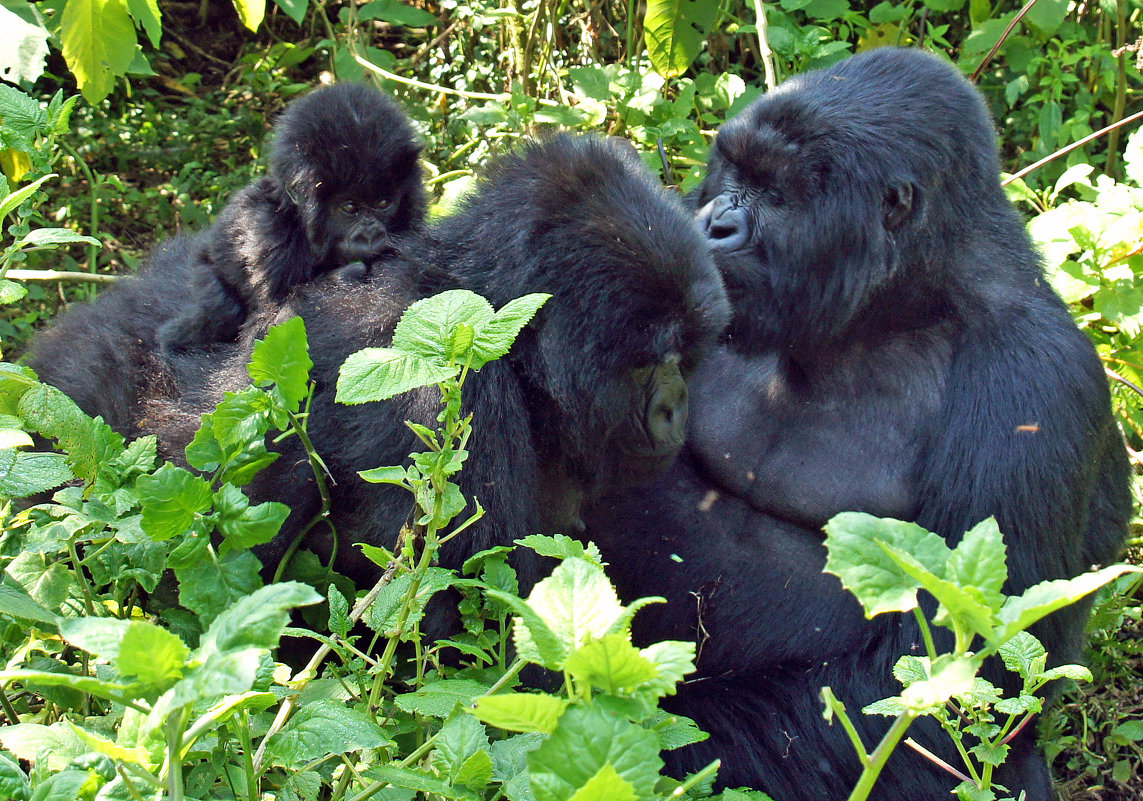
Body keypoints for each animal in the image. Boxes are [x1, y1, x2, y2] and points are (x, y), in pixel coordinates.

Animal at [158, 82, 427, 351]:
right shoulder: (265, 233)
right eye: (350, 208)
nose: (371, 233)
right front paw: (344, 278)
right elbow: (270, 331)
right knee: (222, 308)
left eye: (383, 203)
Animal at [585, 45, 1129, 799]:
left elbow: (953, 691)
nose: (713, 224)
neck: (905, 299)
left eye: (776, 192)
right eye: (733, 173)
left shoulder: (1035, 381)